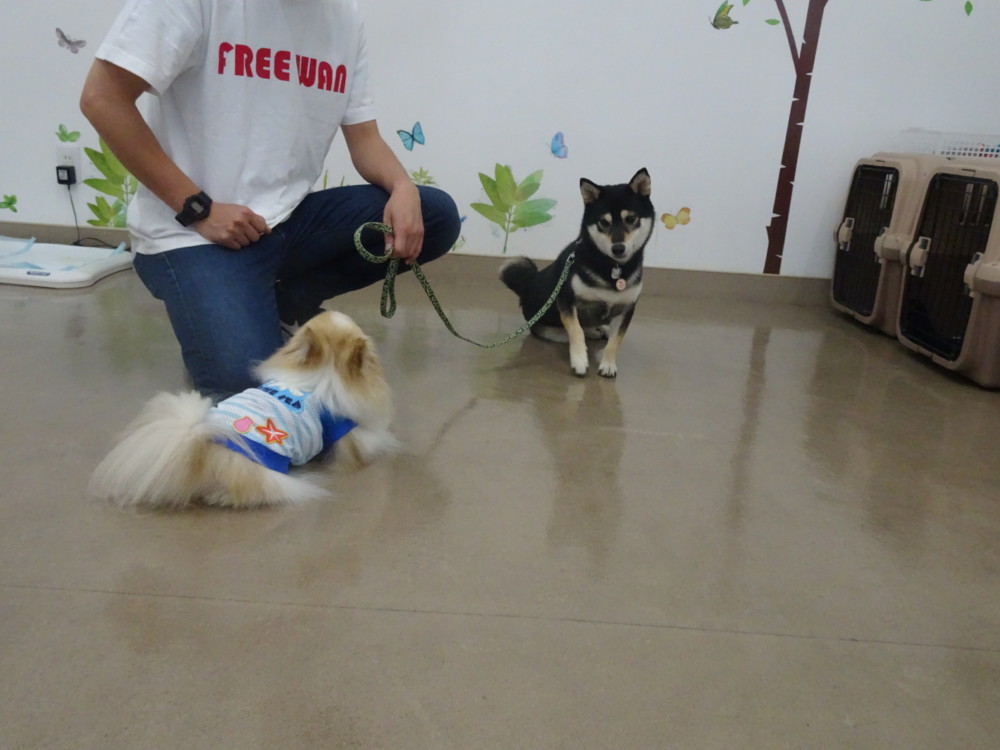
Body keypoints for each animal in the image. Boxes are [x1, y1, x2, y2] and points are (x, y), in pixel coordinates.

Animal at [499, 168, 653, 378]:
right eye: (603, 222)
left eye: (630, 219)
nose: (618, 248)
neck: (611, 267)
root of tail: (528, 285)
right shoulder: (566, 300)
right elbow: (576, 330)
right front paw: (580, 360)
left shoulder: (626, 309)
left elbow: (615, 342)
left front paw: (608, 364)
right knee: (570, 331)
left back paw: (599, 329)